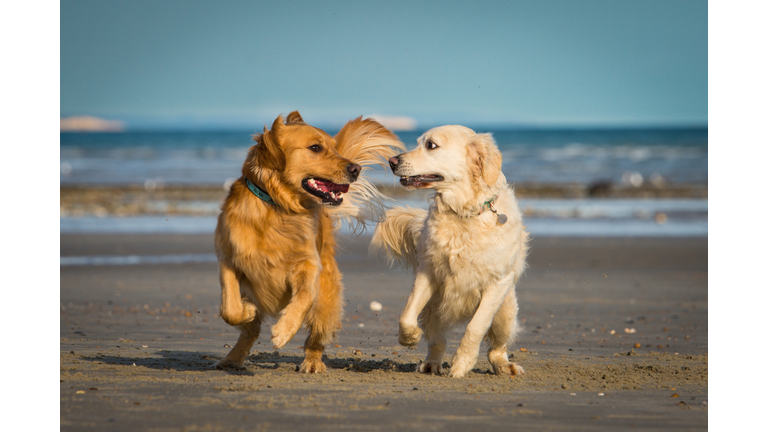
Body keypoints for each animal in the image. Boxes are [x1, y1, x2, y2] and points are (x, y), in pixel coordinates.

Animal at [210, 113, 402, 372]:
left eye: (334, 147)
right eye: (315, 148)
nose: (356, 168)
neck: (278, 207)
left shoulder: (309, 264)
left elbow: (304, 298)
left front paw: (284, 330)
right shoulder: (229, 258)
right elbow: (229, 308)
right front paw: (247, 309)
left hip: (327, 294)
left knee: (316, 336)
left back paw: (312, 362)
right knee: (250, 332)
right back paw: (232, 358)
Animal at [372, 125, 528, 378]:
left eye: (431, 145)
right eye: (418, 142)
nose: (392, 161)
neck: (463, 212)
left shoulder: (498, 282)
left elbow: (476, 326)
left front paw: (462, 363)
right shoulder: (428, 272)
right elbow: (406, 314)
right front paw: (409, 337)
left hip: (506, 312)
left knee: (497, 348)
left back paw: (505, 366)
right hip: (434, 309)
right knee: (437, 342)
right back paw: (430, 364)